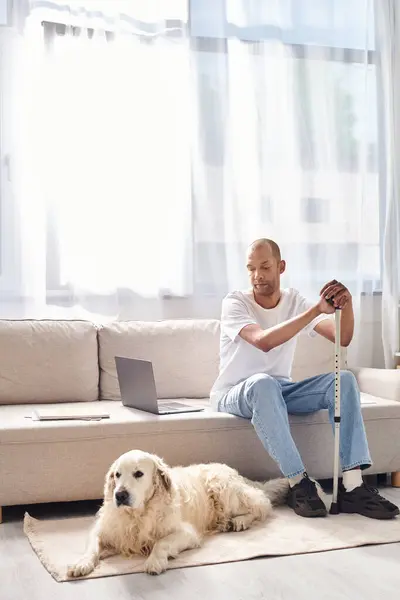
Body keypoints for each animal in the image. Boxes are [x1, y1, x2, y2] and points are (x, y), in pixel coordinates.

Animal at [67, 450, 290, 576]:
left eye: (138, 473)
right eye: (117, 475)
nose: (119, 495)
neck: (138, 514)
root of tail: (236, 473)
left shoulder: (187, 533)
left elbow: (162, 542)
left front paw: (155, 561)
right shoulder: (103, 530)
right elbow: (91, 548)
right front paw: (81, 564)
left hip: (223, 488)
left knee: (261, 504)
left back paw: (239, 521)